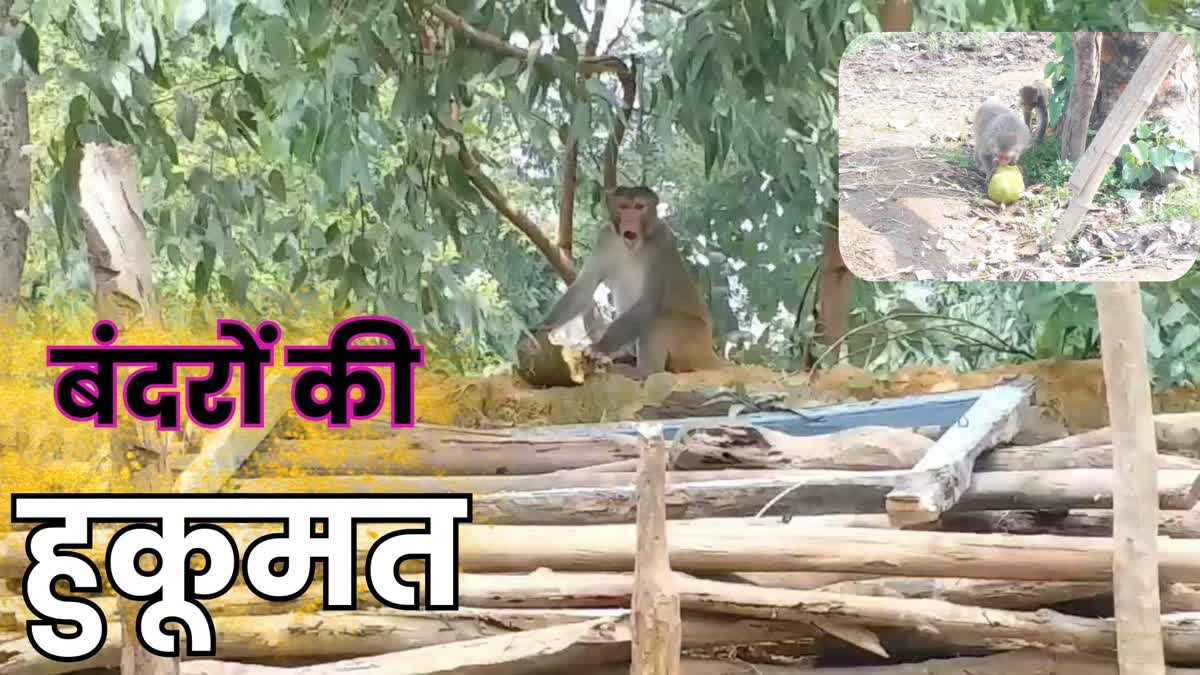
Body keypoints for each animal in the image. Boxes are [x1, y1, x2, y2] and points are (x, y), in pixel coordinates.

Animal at [535, 185, 724, 379]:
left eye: (639, 207)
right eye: (624, 206)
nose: (630, 219)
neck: (632, 246)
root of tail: (710, 353)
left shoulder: (662, 241)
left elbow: (648, 302)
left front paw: (600, 347)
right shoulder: (606, 238)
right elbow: (584, 287)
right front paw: (542, 327)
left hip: (694, 341)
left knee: (660, 319)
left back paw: (642, 372)